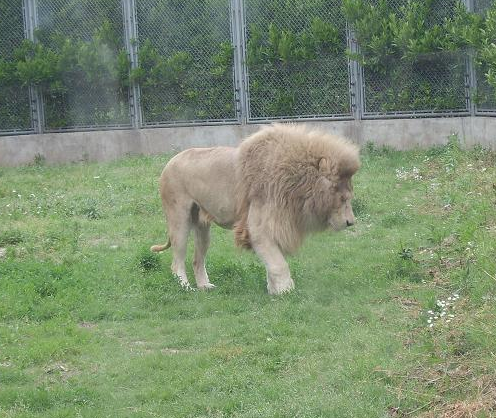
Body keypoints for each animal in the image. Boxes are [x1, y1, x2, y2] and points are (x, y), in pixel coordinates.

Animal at [151, 123, 360, 294]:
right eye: (342, 199)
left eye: (349, 197)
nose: (351, 222)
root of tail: (169, 161)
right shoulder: (259, 227)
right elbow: (278, 264)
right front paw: (286, 291)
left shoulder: (277, 225)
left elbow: (272, 262)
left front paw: (273, 290)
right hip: (179, 219)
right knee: (177, 261)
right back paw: (185, 288)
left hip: (203, 228)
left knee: (197, 260)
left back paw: (204, 286)